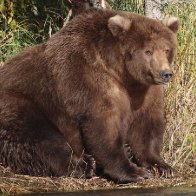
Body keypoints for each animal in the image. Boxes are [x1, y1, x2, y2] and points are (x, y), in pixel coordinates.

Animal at [0, 8, 179, 184]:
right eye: (148, 51)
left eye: (166, 49)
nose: (166, 73)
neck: (122, 74)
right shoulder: (89, 79)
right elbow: (103, 126)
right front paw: (134, 171)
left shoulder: (144, 92)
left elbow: (146, 125)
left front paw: (161, 166)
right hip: (22, 103)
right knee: (40, 138)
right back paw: (84, 165)